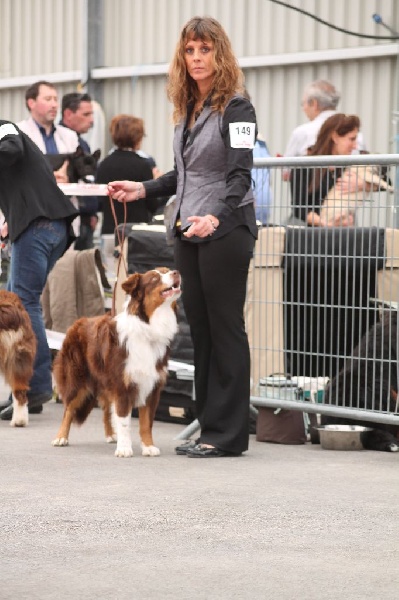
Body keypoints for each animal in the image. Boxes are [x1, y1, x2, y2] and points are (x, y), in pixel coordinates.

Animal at [51, 264, 181, 458]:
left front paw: (148, 446)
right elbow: (125, 420)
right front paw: (125, 448)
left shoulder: (151, 385)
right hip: (77, 379)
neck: (148, 327)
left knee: (106, 409)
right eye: (154, 279)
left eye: (166, 271)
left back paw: (111, 435)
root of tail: (78, 322)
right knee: (69, 408)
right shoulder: (122, 385)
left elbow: (146, 422)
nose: (176, 272)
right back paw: (61, 437)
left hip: (104, 381)